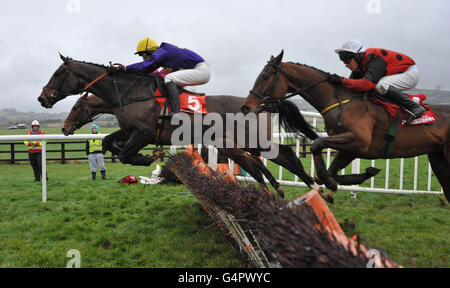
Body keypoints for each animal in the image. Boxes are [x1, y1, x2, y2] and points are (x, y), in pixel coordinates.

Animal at [37, 54, 324, 198]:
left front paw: (149, 157)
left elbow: (127, 153)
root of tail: (260, 104)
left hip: (252, 141)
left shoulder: (142, 133)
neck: (130, 93)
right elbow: (110, 143)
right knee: (258, 164)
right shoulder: (130, 130)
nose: (42, 98)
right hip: (234, 145)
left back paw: (317, 188)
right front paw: (145, 157)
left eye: (58, 73)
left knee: (283, 155)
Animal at [243, 50, 450, 202]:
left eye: (265, 76)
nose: (246, 107)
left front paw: (329, 183)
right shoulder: (350, 148)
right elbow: (330, 171)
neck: (340, 101)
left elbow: (317, 146)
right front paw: (339, 180)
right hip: (437, 158)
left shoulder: (359, 141)